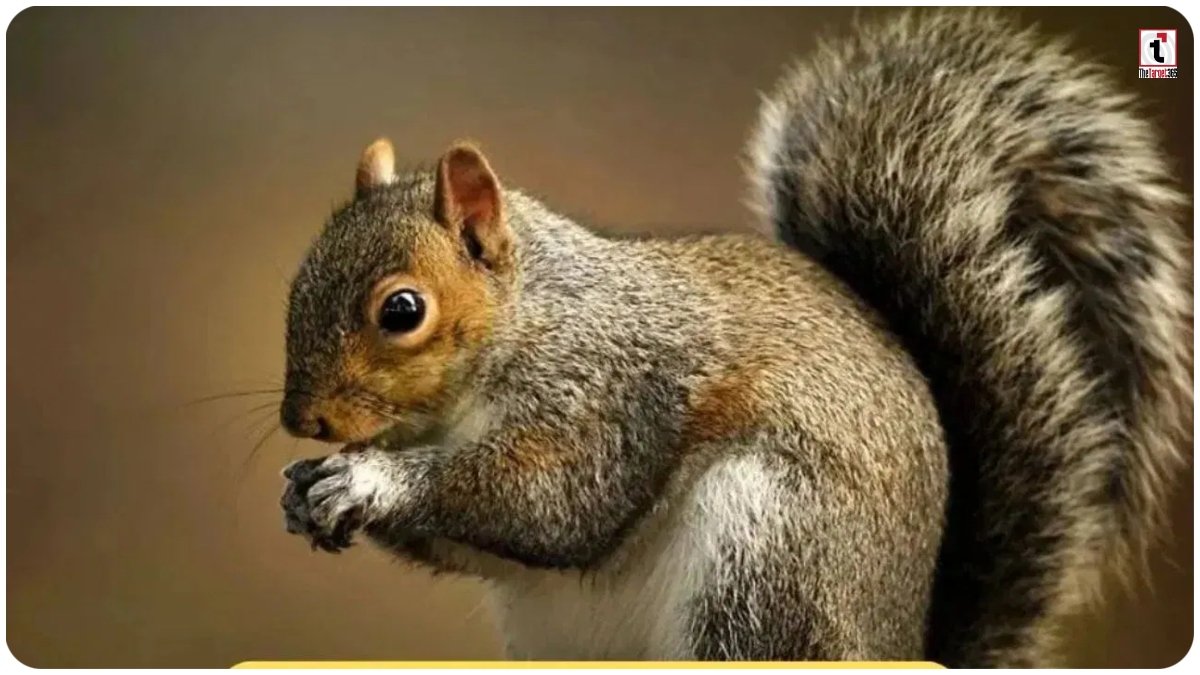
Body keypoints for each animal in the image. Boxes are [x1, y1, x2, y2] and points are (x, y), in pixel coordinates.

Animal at [277, 10, 1192, 667]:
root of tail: (901, 645)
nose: (302, 421)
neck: (529, 318)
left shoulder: (613, 387)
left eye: (402, 310)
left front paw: (371, 479)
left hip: (767, 560)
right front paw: (307, 487)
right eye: (298, 279)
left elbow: (552, 501)